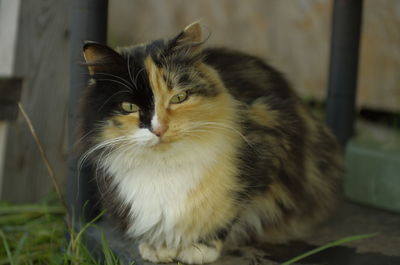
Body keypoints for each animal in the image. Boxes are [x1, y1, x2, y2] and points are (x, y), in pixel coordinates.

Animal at [79, 21, 344, 262]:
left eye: (179, 98)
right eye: (129, 107)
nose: (159, 129)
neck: (164, 166)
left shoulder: (270, 144)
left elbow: (228, 215)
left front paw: (199, 248)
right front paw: (158, 247)